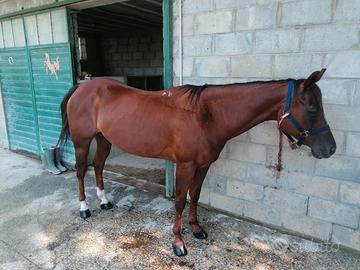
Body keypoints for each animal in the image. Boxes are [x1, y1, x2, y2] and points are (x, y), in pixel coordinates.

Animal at [56, 68, 334, 256]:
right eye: (311, 108)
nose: (330, 148)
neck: (206, 115)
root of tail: (81, 87)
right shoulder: (186, 165)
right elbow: (180, 200)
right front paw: (178, 243)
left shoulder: (203, 164)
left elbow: (195, 195)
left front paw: (197, 228)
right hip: (82, 142)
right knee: (80, 171)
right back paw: (84, 209)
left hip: (103, 139)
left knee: (99, 166)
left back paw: (104, 202)